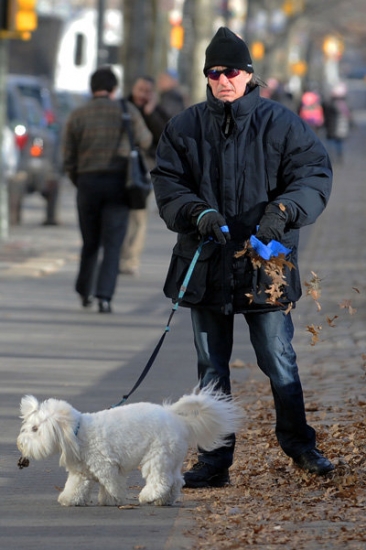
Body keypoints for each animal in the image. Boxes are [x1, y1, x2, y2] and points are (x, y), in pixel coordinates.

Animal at [16, 388, 243, 508]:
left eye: (35, 428)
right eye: (28, 426)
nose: (20, 443)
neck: (78, 432)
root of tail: (174, 416)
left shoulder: (107, 467)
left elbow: (111, 484)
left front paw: (113, 498)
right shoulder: (81, 472)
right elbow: (76, 486)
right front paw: (69, 498)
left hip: (157, 456)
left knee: (160, 480)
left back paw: (148, 496)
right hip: (172, 459)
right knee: (176, 481)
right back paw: (165, 500)